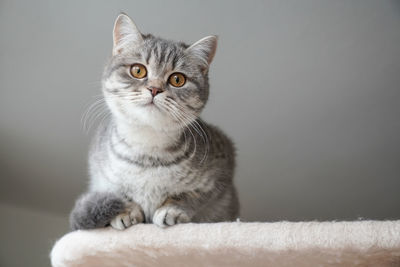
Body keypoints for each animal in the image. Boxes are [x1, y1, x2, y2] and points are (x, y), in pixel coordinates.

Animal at [69, 13, 239, 230]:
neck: (147, 151)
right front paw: (126, 211)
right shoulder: (102, 177)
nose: (155, 89)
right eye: (138, 70)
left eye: (177, 79)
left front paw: (172, 209)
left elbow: (191, 196)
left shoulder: (221, 173)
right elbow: (121, 194)